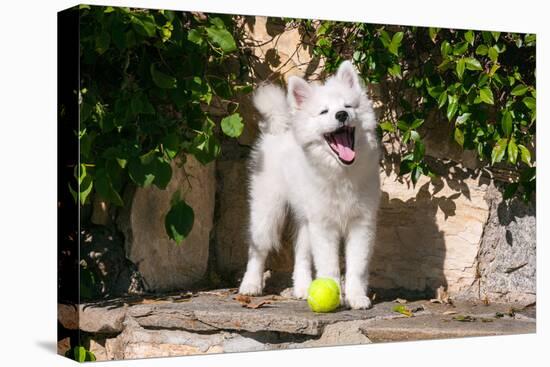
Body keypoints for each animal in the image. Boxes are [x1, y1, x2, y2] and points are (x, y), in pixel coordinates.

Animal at [239, 61, 382, 310]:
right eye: (324, 112)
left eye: (348, 106)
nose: (342, 114)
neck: (341, 172)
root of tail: (280, 126)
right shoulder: (324, 226)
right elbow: (329, 265)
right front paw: (336, 296)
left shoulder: (361, 223)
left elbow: (357, 266)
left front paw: (356, 297)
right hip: (267, 209)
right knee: (258, 248)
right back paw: (251, 284)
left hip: (305, 219)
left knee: (301, 255)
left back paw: (303, 288)